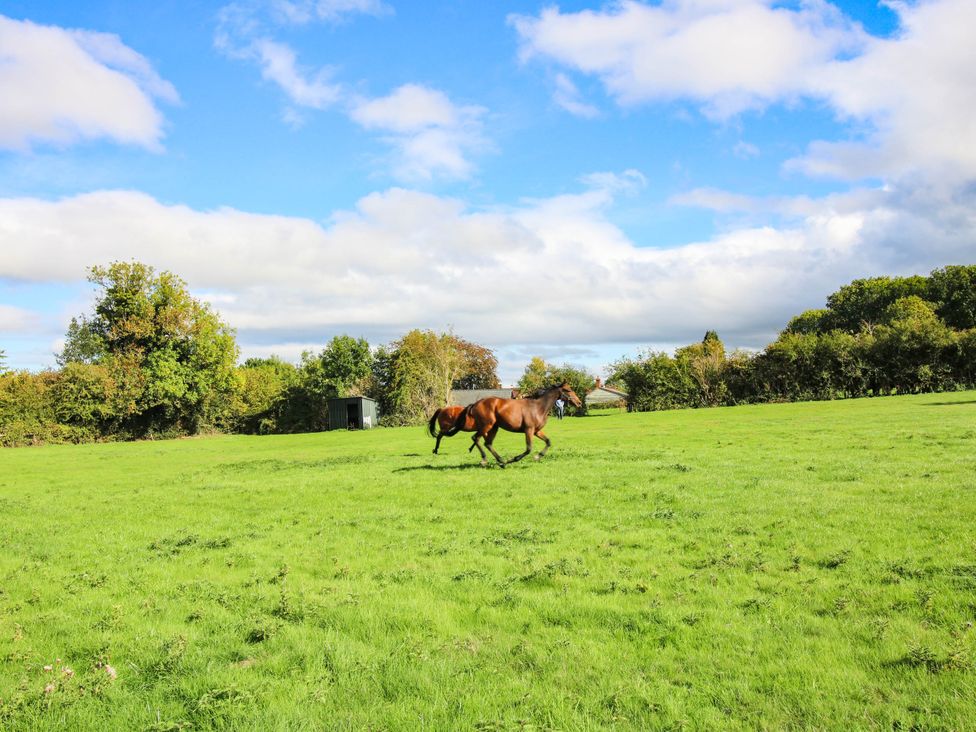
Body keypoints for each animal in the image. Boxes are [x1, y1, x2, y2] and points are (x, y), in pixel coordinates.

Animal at [451, 382, 582, 467]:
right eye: (568, 390)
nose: (579, 403)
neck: (538, 407)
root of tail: (476, 403)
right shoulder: (529, 430)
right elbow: (528, 448)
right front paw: (514, 459)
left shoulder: (536, 431)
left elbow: (548, 441)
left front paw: (538, 456)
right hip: (487, 425)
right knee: (476, 438)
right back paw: (486, 460)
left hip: (494, 427)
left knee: (487, 443)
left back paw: (501, 461)